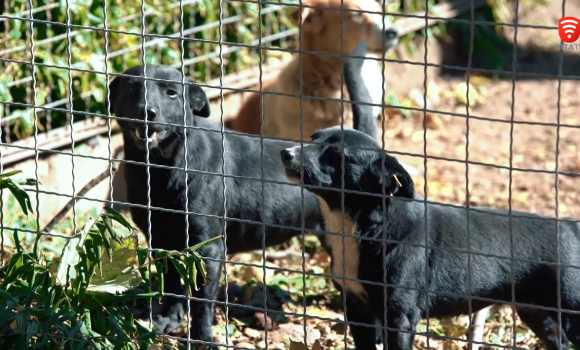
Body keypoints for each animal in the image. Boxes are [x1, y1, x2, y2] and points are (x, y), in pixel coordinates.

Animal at [105, 54, 376, 344]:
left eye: (171, 93)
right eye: (132, 88)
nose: (147, 111)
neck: (162, 170)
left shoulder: (209, 249)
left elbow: (202, 303)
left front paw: (202, 339)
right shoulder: (161, 241)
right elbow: (173, 285)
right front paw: (168, 319)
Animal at [280, 126, 580, 350]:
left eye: (335, 152)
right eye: (313, 138)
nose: (285, 153)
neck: (368, 227)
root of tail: (570, 226)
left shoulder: (399, 318)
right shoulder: (358, 311)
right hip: (538, 314)